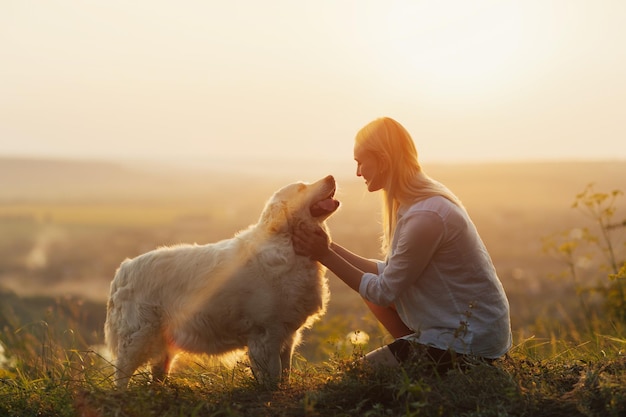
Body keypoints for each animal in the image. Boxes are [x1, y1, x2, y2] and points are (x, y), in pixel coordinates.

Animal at [105, 173, 338, 386]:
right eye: (301, 188)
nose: (331, 177)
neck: (287, 244)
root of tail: (124, 268)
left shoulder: (287, 336)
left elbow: (285, 373)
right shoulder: (266, 334)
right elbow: (272, 376)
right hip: (138, 337)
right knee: (121, 375)